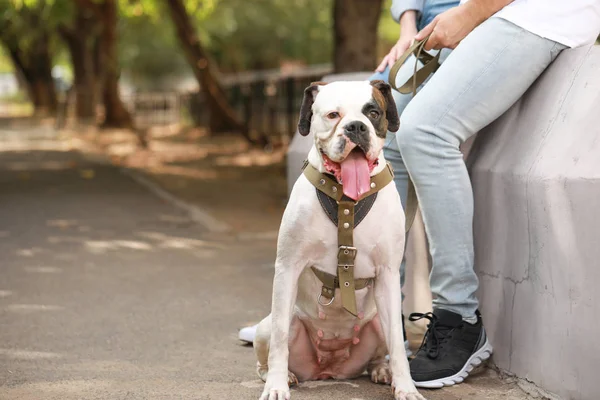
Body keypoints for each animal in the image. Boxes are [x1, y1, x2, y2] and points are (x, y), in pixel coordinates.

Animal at [255, 79, 424, 400]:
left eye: (373, 112)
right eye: (333, 115)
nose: (356, 127)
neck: (347, 201)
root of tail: (330, 369)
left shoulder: (388, 274)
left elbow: (397, 344)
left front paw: (406, 387)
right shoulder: (287, 268)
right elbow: (280, 339)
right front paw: (276, 386)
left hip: (377, 320)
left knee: (381, 350)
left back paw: (381, 370)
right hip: (265, 326)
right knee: (269, 350)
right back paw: (284, 376)